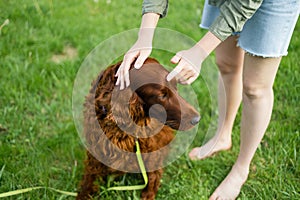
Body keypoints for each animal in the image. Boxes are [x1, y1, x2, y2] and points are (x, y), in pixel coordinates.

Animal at [77, 57, 199, 200]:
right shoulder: (96, 149)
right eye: (162, 95)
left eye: (175, 86)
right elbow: (90, 178)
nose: (197, 119)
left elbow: (153, 176)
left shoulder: (153, 150)